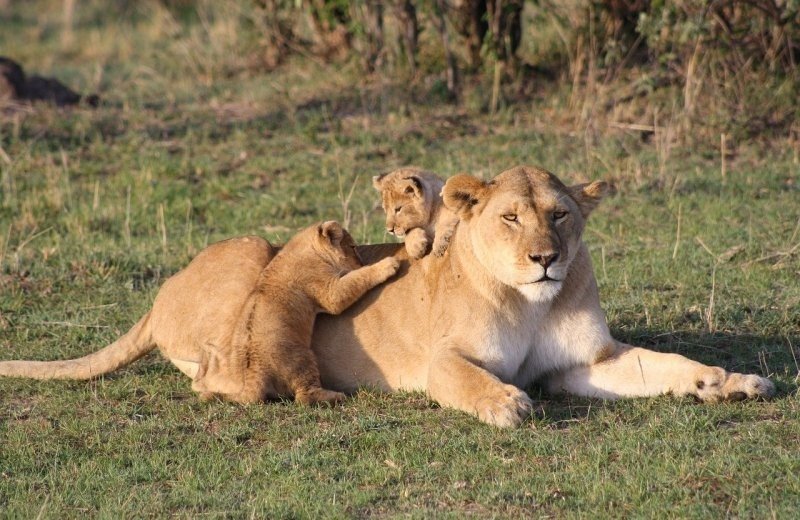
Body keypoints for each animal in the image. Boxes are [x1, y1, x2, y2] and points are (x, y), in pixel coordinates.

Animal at [191, 221, 400, 405]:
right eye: (353, 247)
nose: (362, 262)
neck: (301, 247)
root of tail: (254, 375)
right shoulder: (329, 291)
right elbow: (356, 279)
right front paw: (389, 264)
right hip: (303, 358)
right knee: (304, 397)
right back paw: (336, 396)